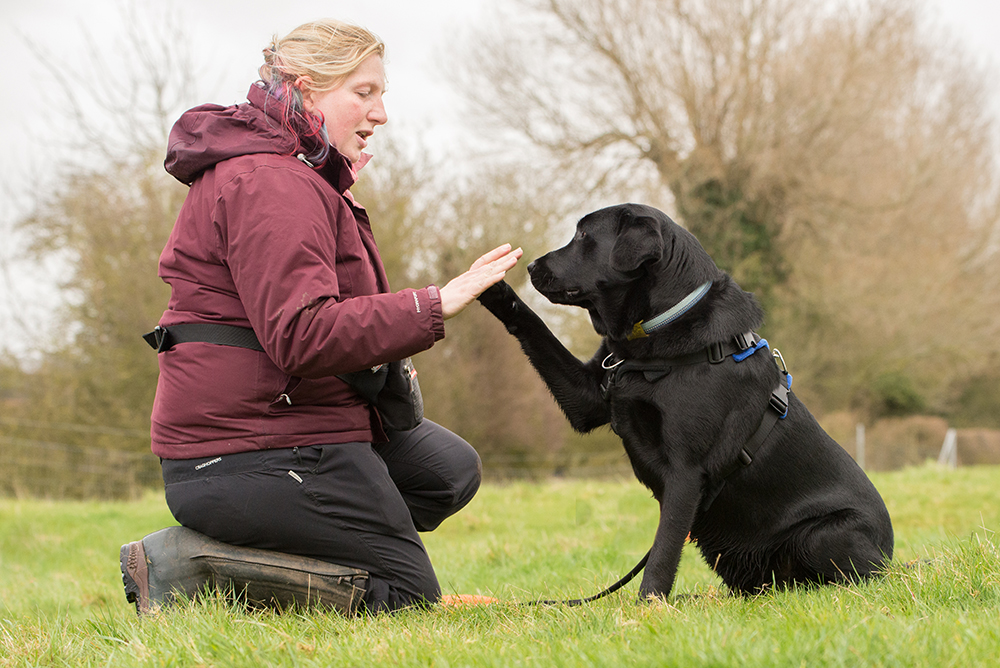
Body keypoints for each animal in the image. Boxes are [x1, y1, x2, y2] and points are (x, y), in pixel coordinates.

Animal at [476, 204, 892, 600]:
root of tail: (890, 556)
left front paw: (648, 605)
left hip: (822, 535)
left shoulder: (686, 471)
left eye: (582, 235)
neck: (657, 330)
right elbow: (535, 326)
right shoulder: (590, 396)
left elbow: (664, 548)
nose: (531, 266)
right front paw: (491, 288)